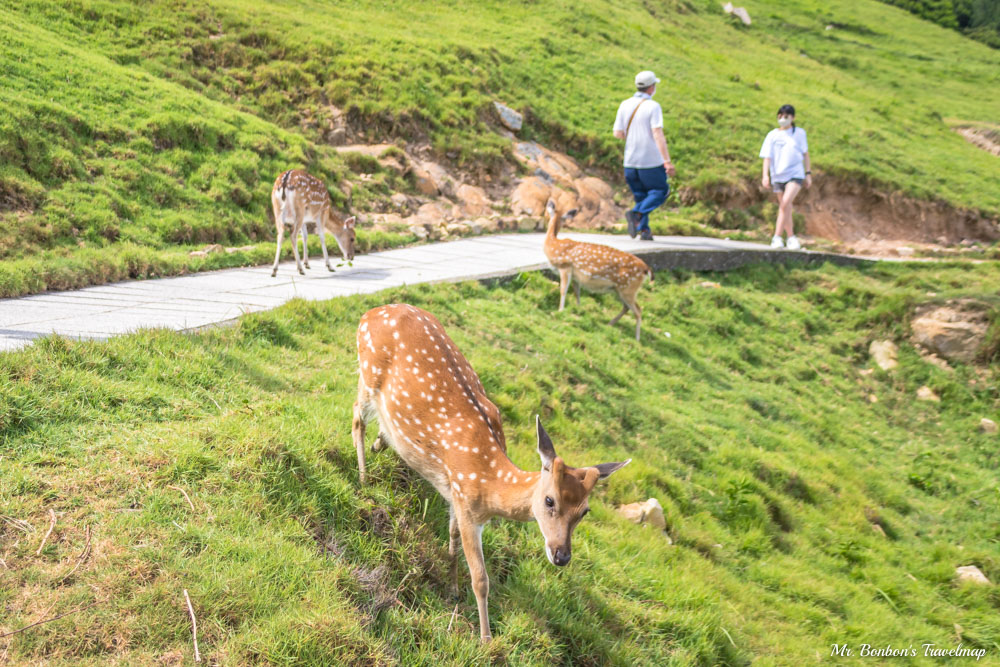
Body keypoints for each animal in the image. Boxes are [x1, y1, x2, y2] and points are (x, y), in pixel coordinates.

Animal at [356, 306, 628, 644]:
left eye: (585, 511)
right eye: (549, 501)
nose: (562, 556)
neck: (491, 484)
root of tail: (369, 314)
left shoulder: (455, 496)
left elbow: (452, 542)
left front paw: (453, 589)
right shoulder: (468, 505)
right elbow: (481, 578)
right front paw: (485, 638)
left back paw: (381, 443)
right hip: (367, 373)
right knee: (356, 419)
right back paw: (363, 478)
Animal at [544, 198, 652, 342]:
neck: (554, 246)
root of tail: (646, 269)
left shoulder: (565, 267)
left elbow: (563, 290)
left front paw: (560, 310)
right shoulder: (576, 276)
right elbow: (577, 293)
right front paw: (578, 309)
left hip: (628, 288)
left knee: (638, 310)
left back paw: (637, 339)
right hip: (620, 289)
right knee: (628, 307)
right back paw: (610, 323)